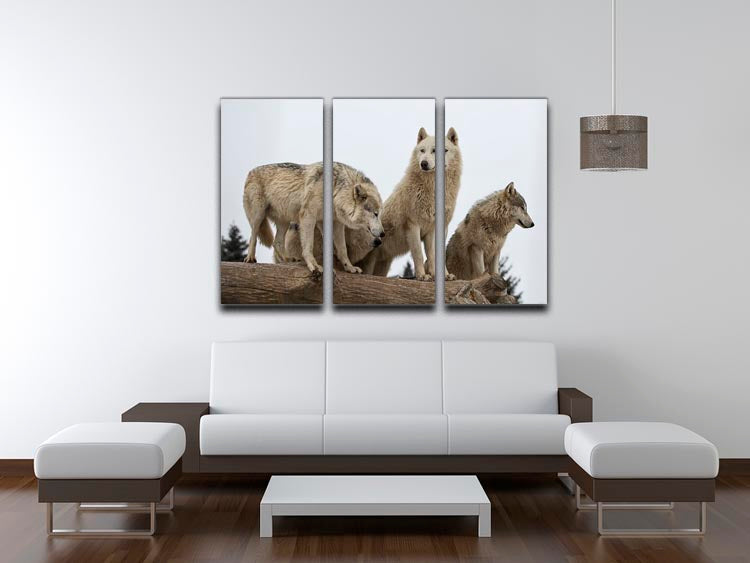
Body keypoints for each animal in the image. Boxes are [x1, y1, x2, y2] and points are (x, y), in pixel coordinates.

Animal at [362, 127, 462, 281]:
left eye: (437, 150)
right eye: (422, 150)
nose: (424, 163)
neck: (431, 189)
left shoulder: (435, 228)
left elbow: (435, 255)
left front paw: (443, 275)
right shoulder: (413, 225)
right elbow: (419, 254)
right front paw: (422, 276)